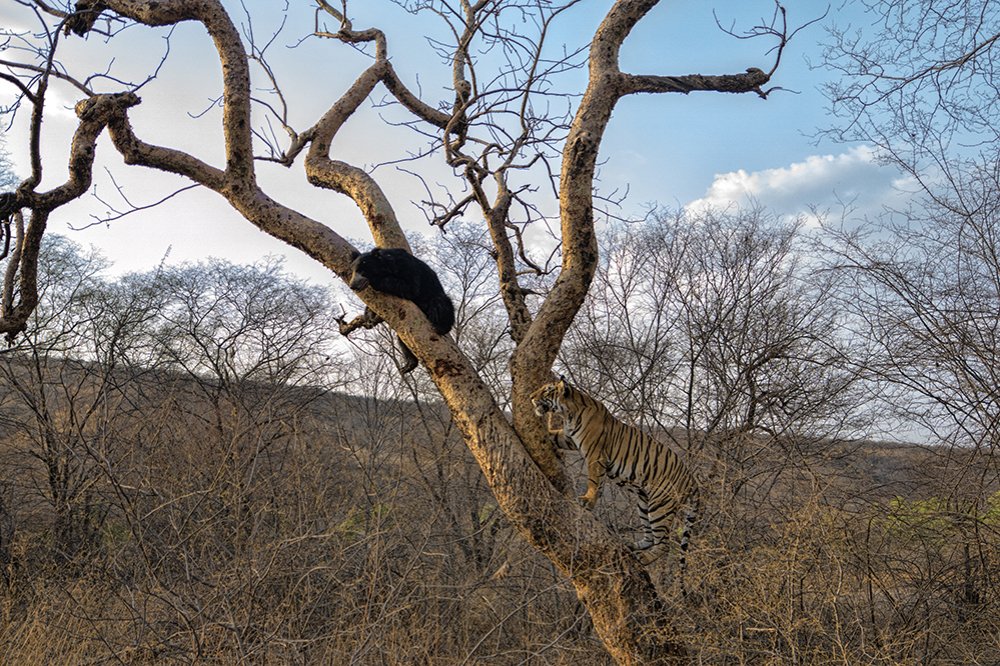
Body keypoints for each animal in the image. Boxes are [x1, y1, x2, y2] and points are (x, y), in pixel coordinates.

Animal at [530, 377, 699, 571]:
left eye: (547, 390)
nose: (531, 397)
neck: (568, 413)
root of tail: (692, 479)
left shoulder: (595, 454)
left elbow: (593, 481)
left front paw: (587, 500)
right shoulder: (567, 438)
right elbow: (552, 435)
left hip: (660, 506)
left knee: (665, 544)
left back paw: (643, 557)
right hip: (644, 503)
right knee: (650, 537)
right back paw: (631, 544)